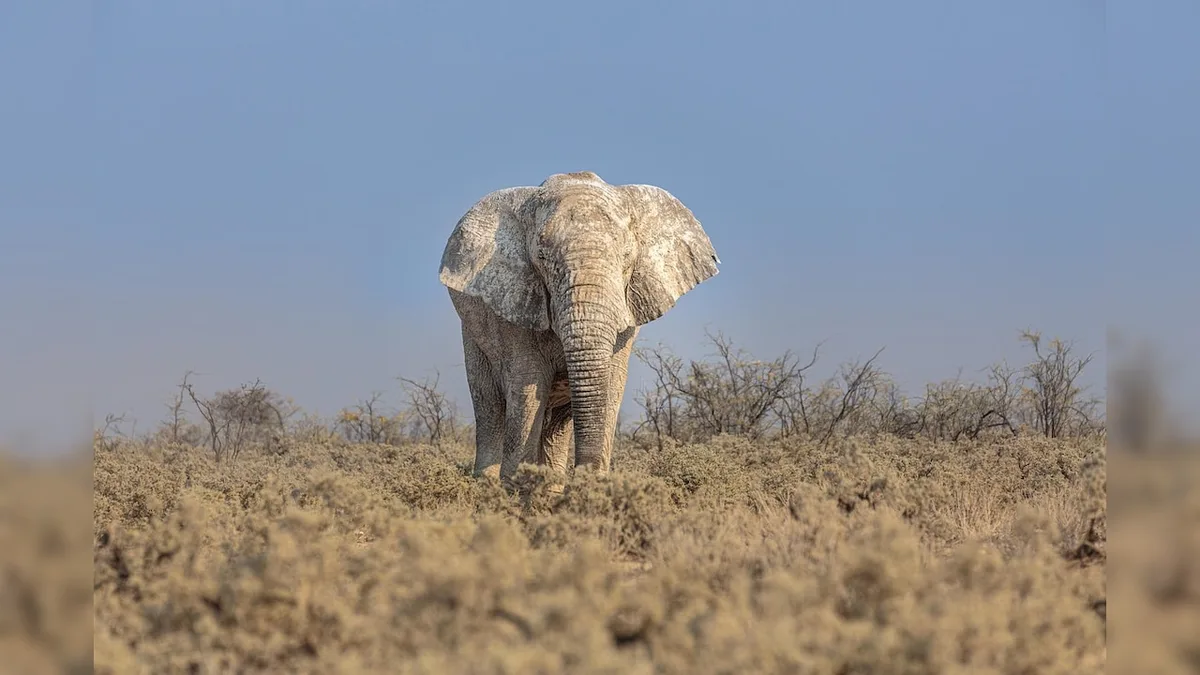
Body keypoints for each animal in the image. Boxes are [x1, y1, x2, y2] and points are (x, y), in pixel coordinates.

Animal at [438, 170, 721, 484]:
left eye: (626, 256)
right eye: (541, 257)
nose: (584, 477)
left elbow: (611, 387)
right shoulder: (514, 303)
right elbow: (527, 388)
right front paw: (515, 489)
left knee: (556, 424)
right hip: (473, 336)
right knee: (490, 407)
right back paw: (486, 484)